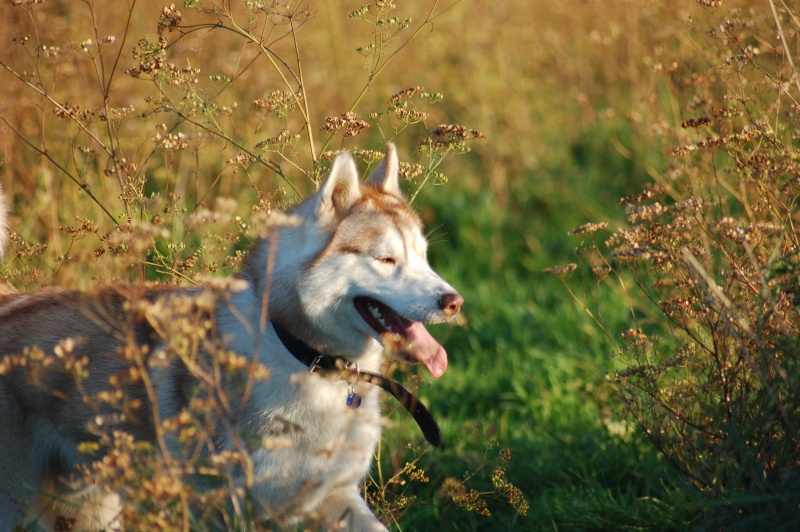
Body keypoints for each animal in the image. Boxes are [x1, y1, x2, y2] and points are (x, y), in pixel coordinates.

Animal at [0, 143, 462, 528]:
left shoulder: (332, 496)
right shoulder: (221, 506)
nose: (453, 301)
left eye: (423, 256)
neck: (305, 357)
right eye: (385, 259)